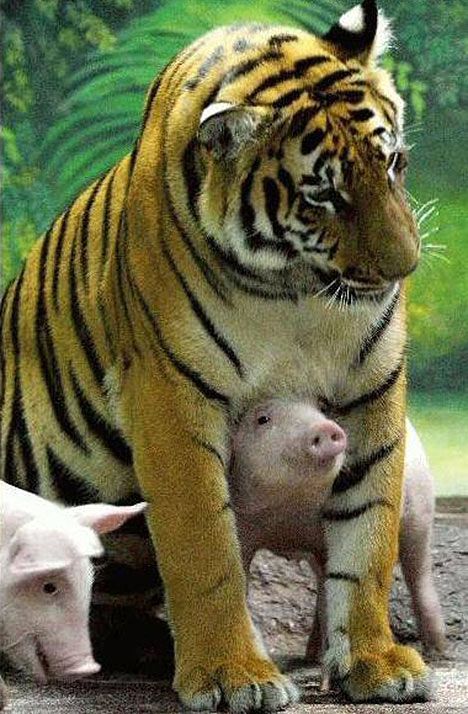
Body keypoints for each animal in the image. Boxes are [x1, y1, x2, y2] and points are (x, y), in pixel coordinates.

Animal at [0, 1, 432, 708]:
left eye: (393, 163)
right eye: (323, 195)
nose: (405, 268)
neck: (295, 291)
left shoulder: (372, 386)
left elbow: (368, 535)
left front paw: (374, 662)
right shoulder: (169, 394)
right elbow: (206, 547)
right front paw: (233, 675)